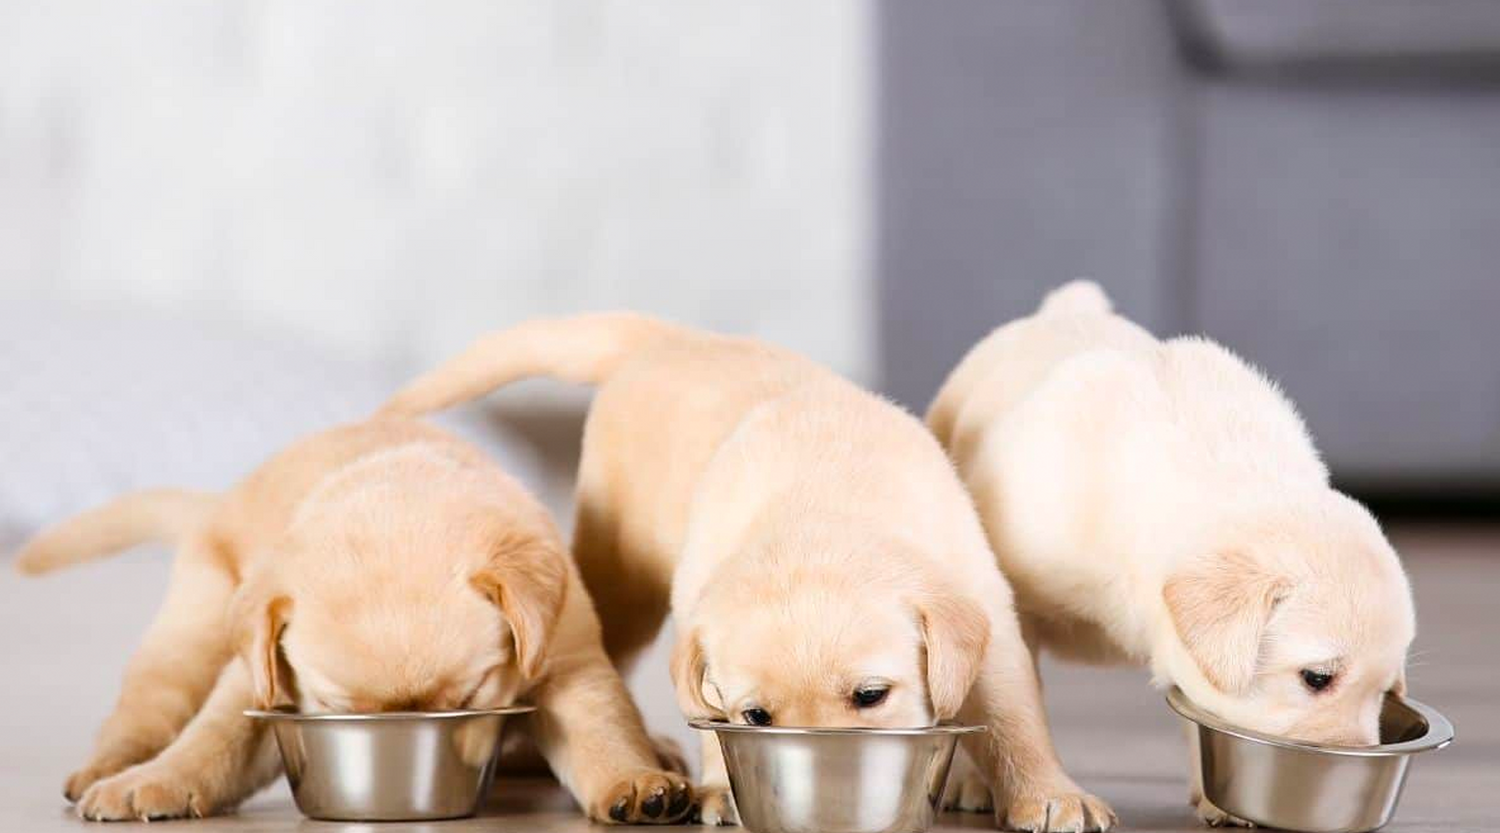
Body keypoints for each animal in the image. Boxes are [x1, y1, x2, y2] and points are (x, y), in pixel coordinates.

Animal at [14, 420, 693, 822]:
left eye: (468, 698)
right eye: (339, 707)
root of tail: (218, 502)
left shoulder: (568, 660)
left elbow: (602, 730)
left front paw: (636, 781)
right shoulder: (260, 683)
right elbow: (214, 739)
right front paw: (155, 781)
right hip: (191, 631)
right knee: (146, 709)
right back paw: (113, 766)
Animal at [384, 315, 1116, 833]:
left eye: (871, 696)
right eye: (757, 716)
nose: (832, 788)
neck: (824, 507)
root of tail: (672, 339)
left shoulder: (987, 616)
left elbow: (1017, 717)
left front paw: (1051, 794)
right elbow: (708, 719)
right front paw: (719, 788)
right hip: (620, 575)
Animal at [924, 282, 1416, 828]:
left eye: (1386, 692)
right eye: (1317, 678)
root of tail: (1066, 307)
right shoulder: (1011, 604)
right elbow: (1012, 707)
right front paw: (1051, 795)